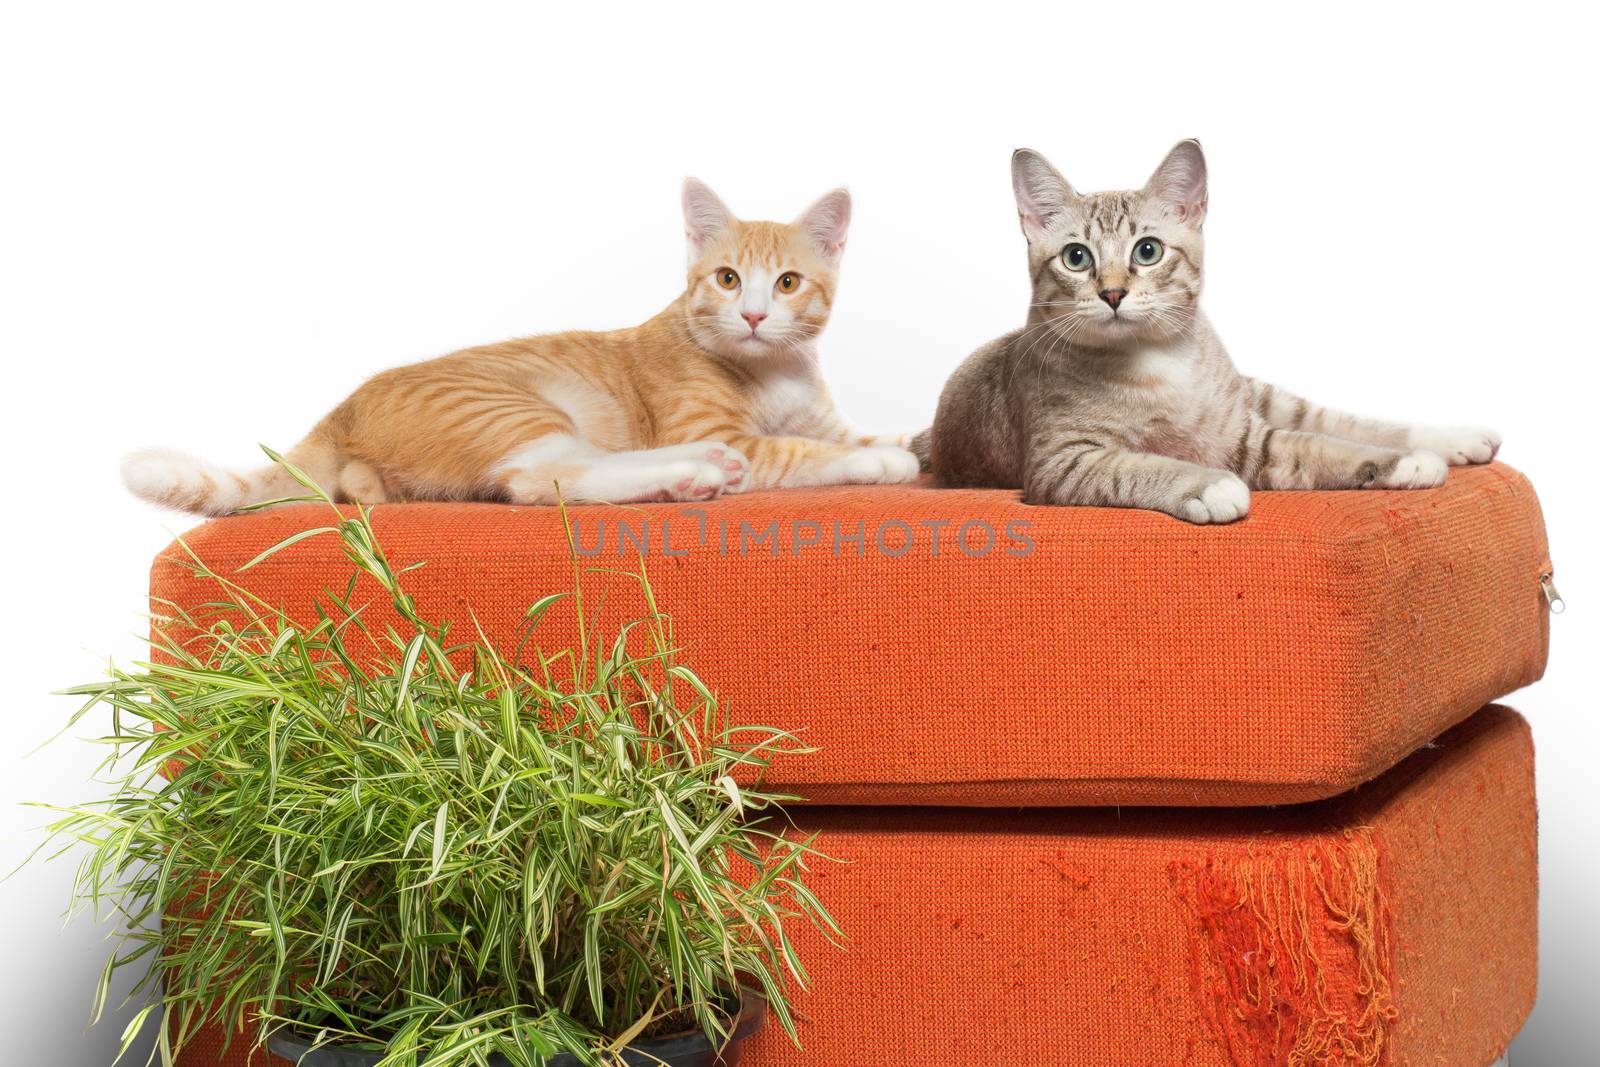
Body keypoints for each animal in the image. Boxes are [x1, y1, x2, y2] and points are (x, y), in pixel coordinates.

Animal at [124, 181, 921, 515]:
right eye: (727, 279)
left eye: (787, 283)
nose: (754, 316)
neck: (775, 369)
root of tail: (340, 410)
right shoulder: (735, 429)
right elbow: (797, 452)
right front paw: (881, 464)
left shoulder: (824, 416)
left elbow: (872, 432)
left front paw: (908, 444)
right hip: (512, 410)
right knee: (541, 480)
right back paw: (693, 473)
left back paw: (698, 471)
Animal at [928, 141, 1497, 524]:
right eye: (1076, 257)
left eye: (1148, 251)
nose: (1112, 293)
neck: (1154, 362)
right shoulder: (1061, 463)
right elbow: (1136, 464)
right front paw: (1208, 485)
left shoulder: (1246, 437)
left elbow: (1322, 446)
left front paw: (1402, 463)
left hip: (1254, 395)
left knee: (1338, 421)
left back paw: (1452, 439)